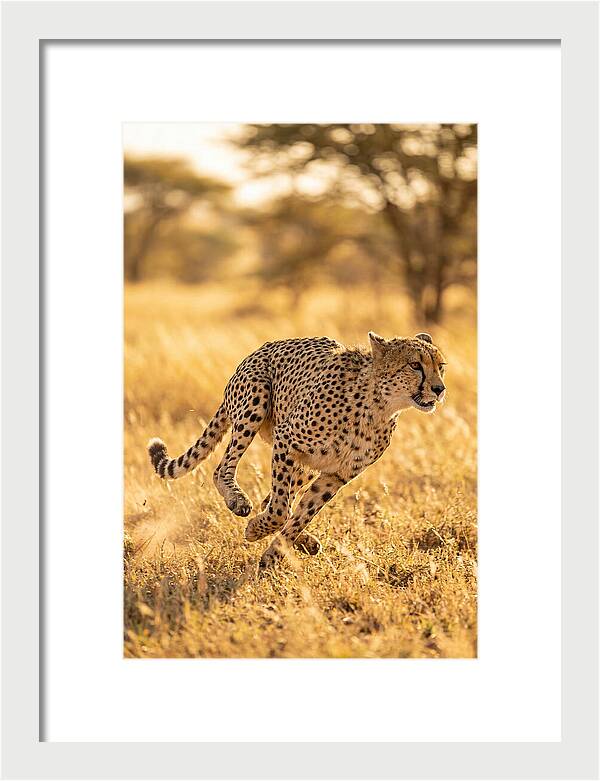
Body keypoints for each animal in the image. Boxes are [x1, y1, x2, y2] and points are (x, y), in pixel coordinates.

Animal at [147, 331, 446, 570]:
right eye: (415, 365)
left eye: (440, 366)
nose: (439, 388)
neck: (379, 406)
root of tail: (258, 350)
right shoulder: (287, 440)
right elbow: (280, 509)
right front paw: (256, 530)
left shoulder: (336, 475)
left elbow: (302, 513)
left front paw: (274, 553)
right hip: (255, 401)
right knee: (223, 469)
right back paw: (238, 500)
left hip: (306, 465)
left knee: (273, 499)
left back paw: (305, 541)